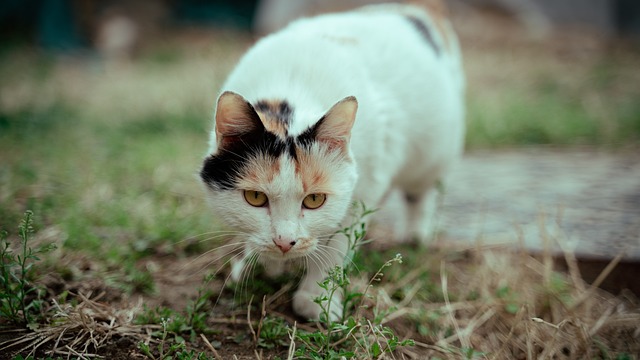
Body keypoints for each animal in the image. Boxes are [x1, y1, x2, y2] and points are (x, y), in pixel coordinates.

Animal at [200, 1, 464, 320]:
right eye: (254, 197)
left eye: (315, 200)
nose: (284, 243)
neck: (292, 89)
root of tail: (417, 9)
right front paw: (263, 264)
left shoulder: (359, 194)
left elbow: (334, 249)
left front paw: (316, 302)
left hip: (432, 153)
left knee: (419, 193)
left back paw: (414, 236)